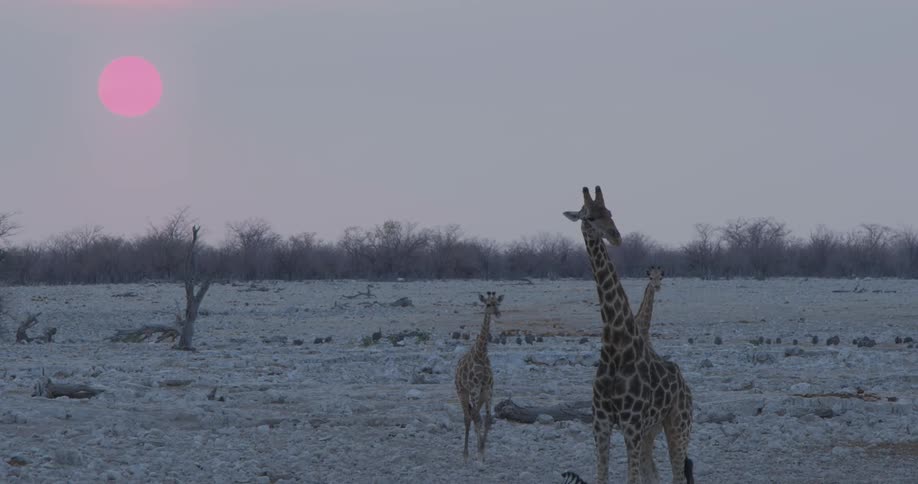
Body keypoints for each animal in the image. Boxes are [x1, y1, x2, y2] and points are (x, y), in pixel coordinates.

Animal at [454, 291, 502, 461]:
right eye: (488, 304)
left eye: (498, 303)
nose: (498, 313)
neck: (481, 354)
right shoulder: (475, 388)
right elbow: (477, 417)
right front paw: (479, 451)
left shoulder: (488, 389)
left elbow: (487, 419)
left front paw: (482, 449)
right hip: (462, 392)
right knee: (468, 417)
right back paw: (465, 452)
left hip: (479, 395)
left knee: (474, 415)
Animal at [563, 186, 693, 484]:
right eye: (588, 217)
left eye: (610, 211)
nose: (616, 236)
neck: (615, 347)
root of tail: (685, 384)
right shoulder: (601, 424)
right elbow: (602, 477)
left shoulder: (631, 424)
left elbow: (631, 479)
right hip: (651, 430)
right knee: (654, 474)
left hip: (678, 424)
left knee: (677, 474)